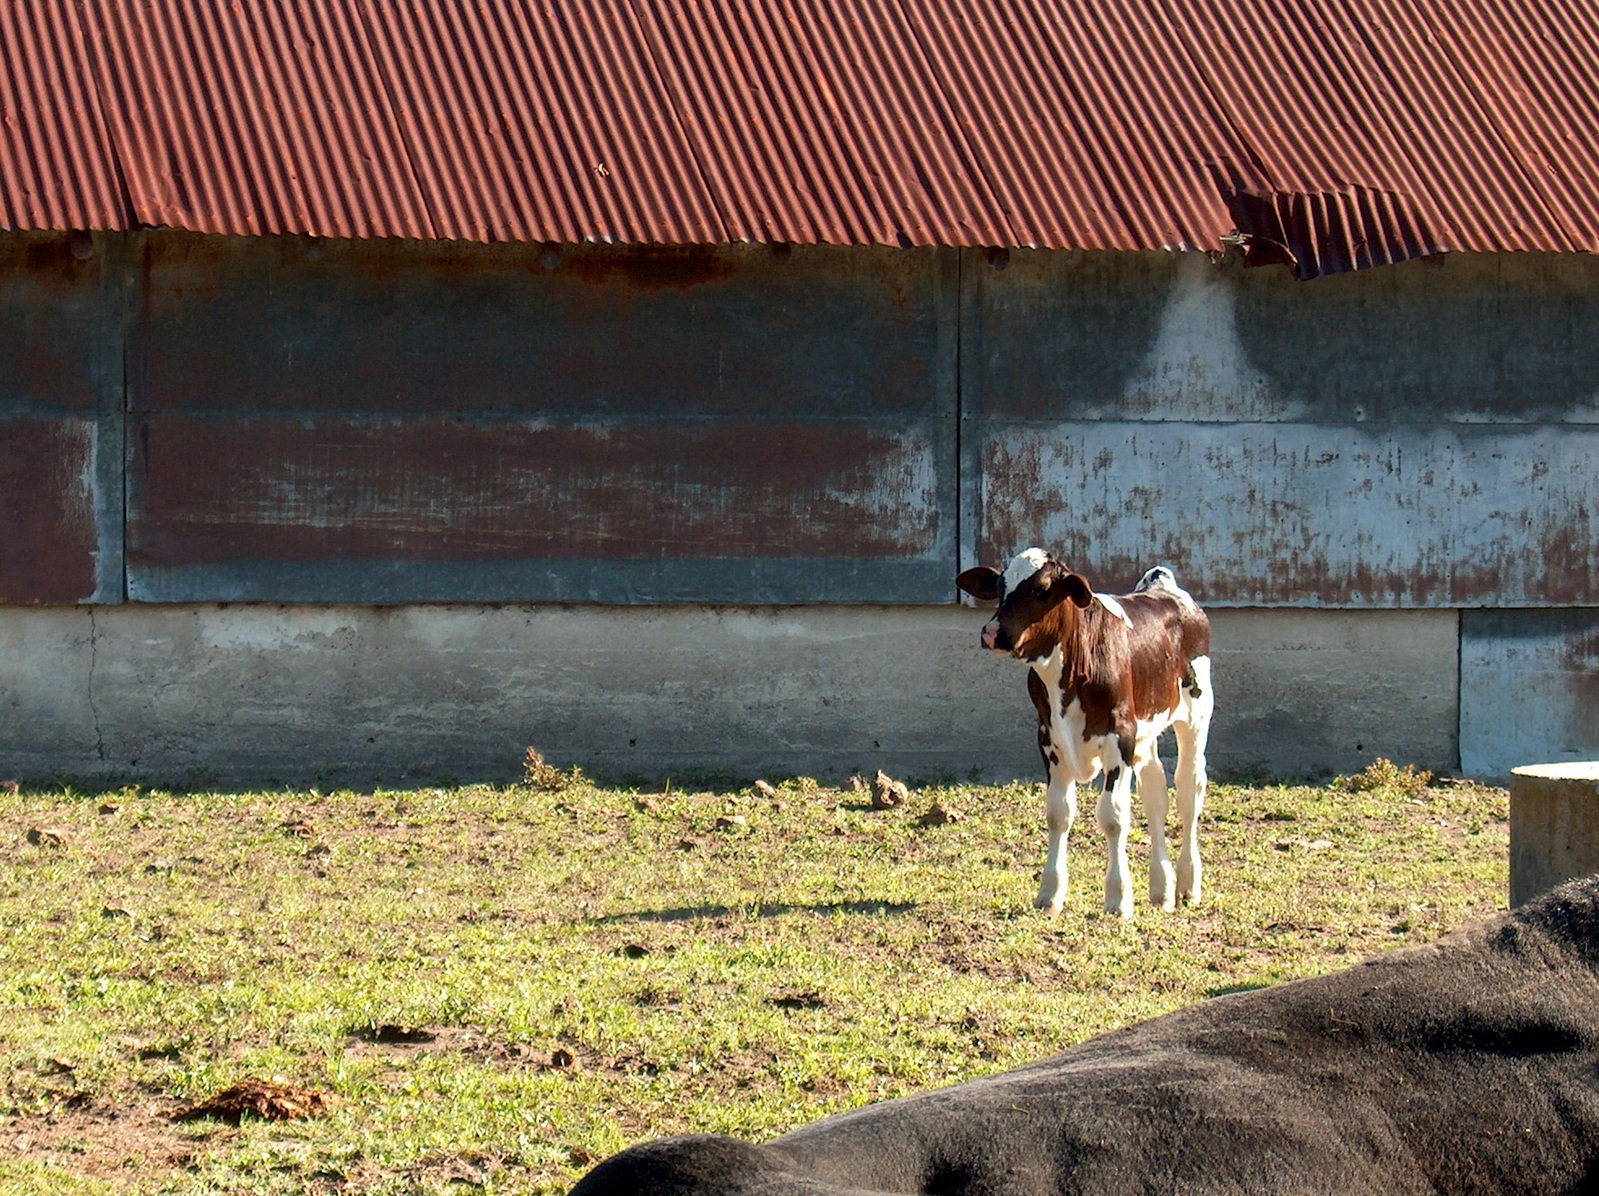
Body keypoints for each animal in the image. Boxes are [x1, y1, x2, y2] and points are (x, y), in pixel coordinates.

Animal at [946, 546, 1208, 920]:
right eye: (999, 587)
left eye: (1042, 590)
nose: (991, 633)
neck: (1068, 673)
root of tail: (1163, 586)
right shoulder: (1048, 738)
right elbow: (1059, 814)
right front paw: (1050, 894)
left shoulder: (1120, 738)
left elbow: (1113, 816)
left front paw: (1118, 899)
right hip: (1147, 730)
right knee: (1155, 793)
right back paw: (1162, 890)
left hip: (1196, 713)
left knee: (1188, 790)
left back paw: (1188, 884)